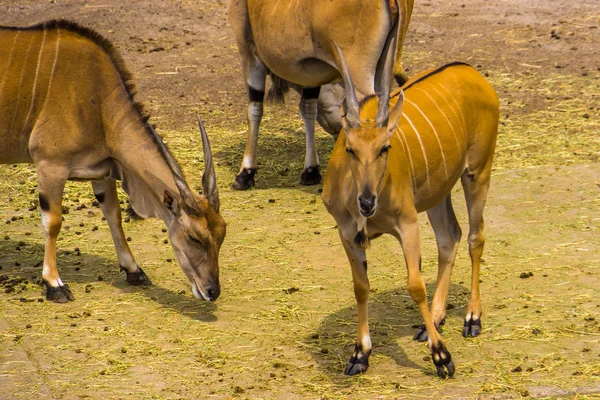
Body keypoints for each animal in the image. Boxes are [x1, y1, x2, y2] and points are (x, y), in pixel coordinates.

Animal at [0, 21, 225, 304]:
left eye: (222, 234)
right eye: (194, 237)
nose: (212, 291)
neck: (97, 100)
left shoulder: (101, 172)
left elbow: (114, 215)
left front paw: (134, 271)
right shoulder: (50, 165)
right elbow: (53, 222)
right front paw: (54, 284)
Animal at [227, 0, 414, 190]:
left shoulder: (249, 53)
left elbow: (255, 111)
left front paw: (245, 173)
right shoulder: (310, 76)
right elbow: (308, 109)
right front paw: (311, 170)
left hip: (358, 75)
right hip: (382, 69)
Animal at [322, 44, 500, 378]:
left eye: (385, 147)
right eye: (350, 149)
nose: (367, 202)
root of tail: (472, 72)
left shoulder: (407, 224)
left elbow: (415, 286)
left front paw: (442, 356)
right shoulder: (347, 233)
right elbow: (360, 287)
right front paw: (359, 354)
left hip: (478, 172)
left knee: (475, 237)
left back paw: (472, 318)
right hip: (438, 191)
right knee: (450, 237)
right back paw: (435, 319)